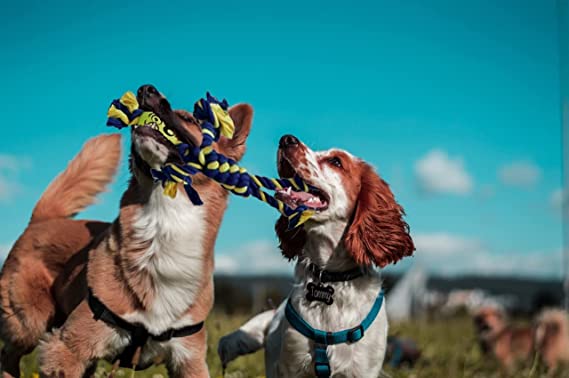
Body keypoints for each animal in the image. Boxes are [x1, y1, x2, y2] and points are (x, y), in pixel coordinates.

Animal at [0, 85, 253, 378]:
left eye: (189, 119)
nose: (147, 89)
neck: (163, 223)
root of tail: (43, 219)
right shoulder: (67, 348)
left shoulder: (190, 359)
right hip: (29, 323)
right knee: (8, 354)